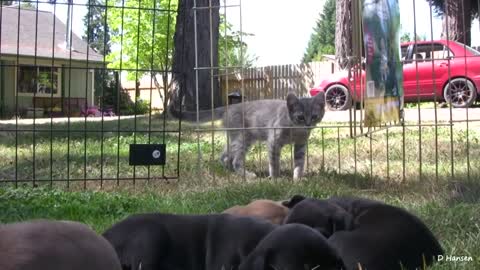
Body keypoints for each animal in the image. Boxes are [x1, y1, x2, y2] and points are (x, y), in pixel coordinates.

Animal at [170, 92, 326, 179]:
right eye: (300, 117)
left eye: (314, 116)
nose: (308, 125)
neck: (296, 131)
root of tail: (229, 107)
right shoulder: (273, 141)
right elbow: (274, 162)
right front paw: (276, 178)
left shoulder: (301, 145)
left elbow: (300, 162)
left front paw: (297, 178)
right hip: (242, 138)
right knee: (235, 160)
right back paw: (247, 175)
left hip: (236, 138)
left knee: (224, 156)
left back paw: (231, 172)